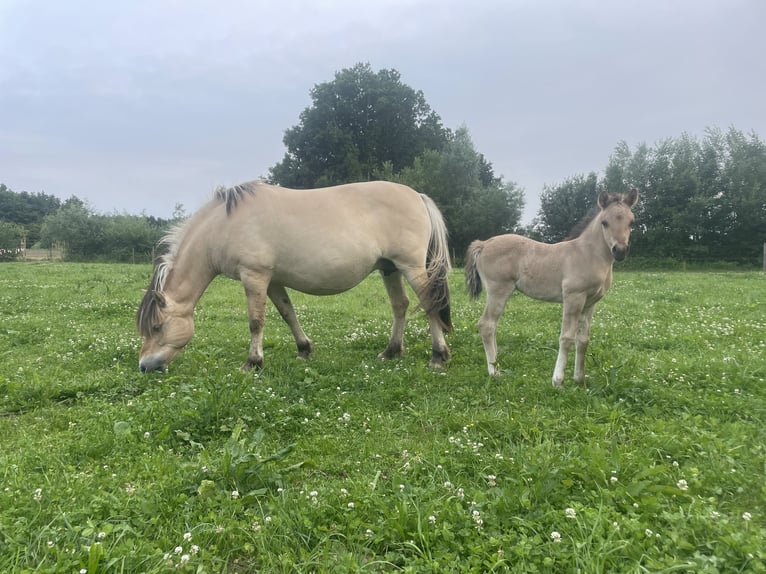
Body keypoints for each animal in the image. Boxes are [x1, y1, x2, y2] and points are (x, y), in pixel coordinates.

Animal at [137, 180, 452, 373]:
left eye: (157, 327)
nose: (144, 366)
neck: (224, 225)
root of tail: (418, 196)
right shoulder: (273, 281)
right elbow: (288, 314)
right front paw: (304, 349)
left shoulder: (255, 276)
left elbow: (255, 321)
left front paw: (253, 362)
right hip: (390, 269)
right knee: (400, 306)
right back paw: (391, 351)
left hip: (411, 267)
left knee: (429, 304)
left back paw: (438, 356)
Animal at [464, 189, 638, 386]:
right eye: (604, 222)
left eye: (631, 222)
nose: (620, 251)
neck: (588, 254)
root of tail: (483, 244)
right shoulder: (574, 297)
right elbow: (566, 337)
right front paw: (558, 380)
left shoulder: (590, 303)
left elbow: (583, 340)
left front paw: (579, 379)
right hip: (498, 290)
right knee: (486, 325)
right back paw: (494, 372)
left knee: (492, 326)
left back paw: (497, 364)